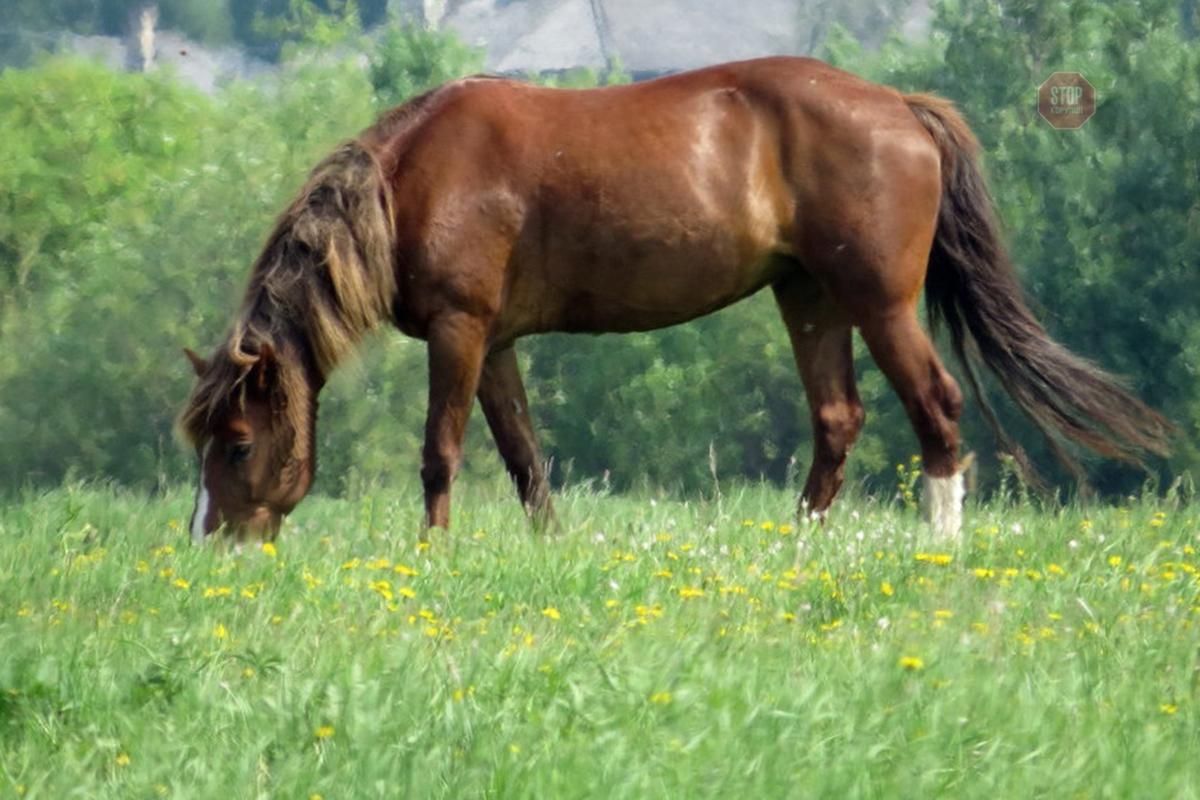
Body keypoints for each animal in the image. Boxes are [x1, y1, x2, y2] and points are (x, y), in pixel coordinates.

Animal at [180, 56, 1171, 544]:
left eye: (238, 443)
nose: (213, 543)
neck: (412, 177)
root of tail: (899, 103)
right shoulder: (496, 344)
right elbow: (525, 461)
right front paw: (549, 550)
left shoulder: (460, 333)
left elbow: (440, 454)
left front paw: (433, 555)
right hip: (809, 298)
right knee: (838, 418)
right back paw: (797, 543)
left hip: (879, 303)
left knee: (936, 408)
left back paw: (940, 541)